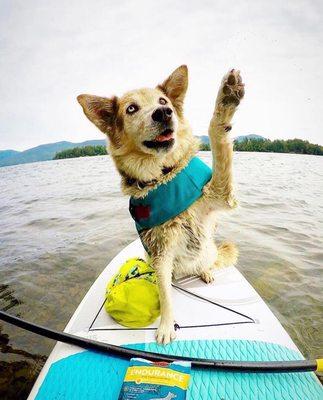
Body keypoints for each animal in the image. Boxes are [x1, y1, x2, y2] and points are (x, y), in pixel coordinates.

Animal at [78, 65, 246, 344]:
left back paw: (206, 271)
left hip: (209, 250)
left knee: (208, 261)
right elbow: (165, 294)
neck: (163, 176)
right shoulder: (161, 252)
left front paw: (227, 97)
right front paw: (167, 326)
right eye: (131, 108)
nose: (163, 113)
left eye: (163, 101)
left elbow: (219, 139)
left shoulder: (220, 194)